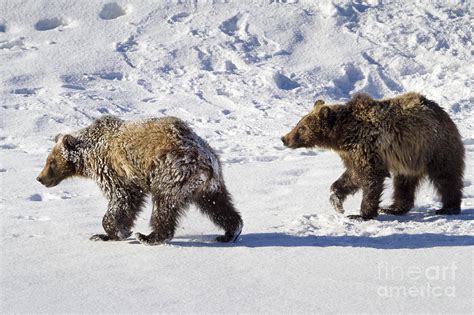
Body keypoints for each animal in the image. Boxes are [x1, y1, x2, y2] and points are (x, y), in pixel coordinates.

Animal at [37, 116, 243, 247]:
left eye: (51, 162)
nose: (40, 178)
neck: (89, 155)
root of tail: (206, 160)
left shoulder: (115, 171)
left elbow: (122, 200)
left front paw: (117, 231)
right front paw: (105, 234)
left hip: (171, 173)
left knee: (163, 207)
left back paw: (148, 237)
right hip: (208, 186)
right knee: (218, 206)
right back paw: (230, 232)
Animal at [284, 92, 464, 221]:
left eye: (302, 128)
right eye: (299, 123)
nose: (284, 138)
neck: (341, 135)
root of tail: (443, 113)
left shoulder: (366, 146)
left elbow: (371, 177)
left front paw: (361, 214)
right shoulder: (351, 154)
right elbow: (352, 176)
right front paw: (337, 202)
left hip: (433, 147)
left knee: (445, 177)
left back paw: (448, 207)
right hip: (409, 158)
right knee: (403, 182)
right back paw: (394, 208)